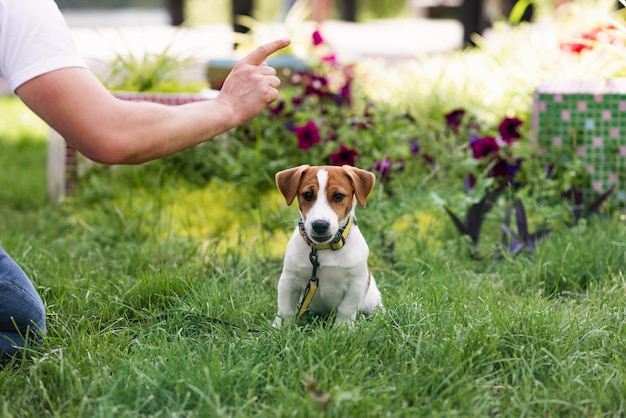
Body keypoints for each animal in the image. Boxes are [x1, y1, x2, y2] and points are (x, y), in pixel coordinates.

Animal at [272, 163, 380, 326]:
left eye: (338, 196)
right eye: (308, 195)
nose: (320, 225)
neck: (323, 249)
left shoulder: (355, 284)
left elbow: (346, 310)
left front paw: (342, 328)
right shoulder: (288, 280)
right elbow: (285, 309)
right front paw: (280, 328)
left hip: (372, 300)